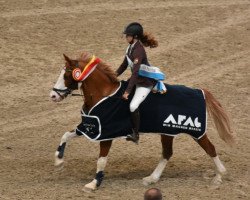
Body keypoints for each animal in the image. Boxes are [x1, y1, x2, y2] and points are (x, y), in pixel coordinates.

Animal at [50, 52, 234, 191]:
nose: (53, 96)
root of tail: (199, 91)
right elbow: (65, 135)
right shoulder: (91, 127)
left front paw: (94, 183)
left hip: (196, 132)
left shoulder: (106, 134)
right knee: (167, 153)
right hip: (167, 132)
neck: (103, 94)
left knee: (210, 149)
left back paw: (219, 176)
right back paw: (151, 178)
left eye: (66, 74)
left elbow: (101, 160)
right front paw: (58, 161)